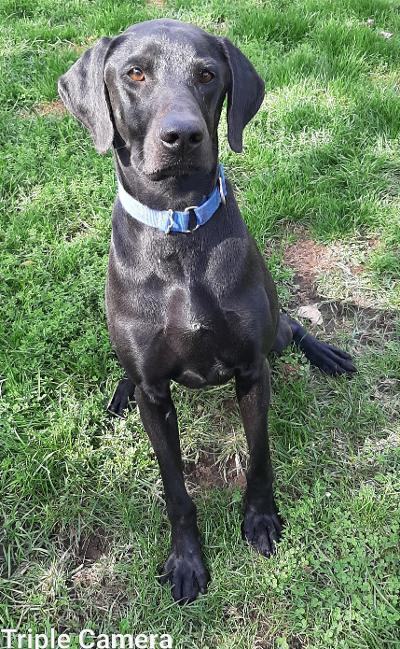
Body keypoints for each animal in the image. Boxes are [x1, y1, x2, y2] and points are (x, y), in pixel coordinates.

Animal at [58, 17, 354, 604]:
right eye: (135, 73)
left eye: (207, 74)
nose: (183, 136)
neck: (178, 228)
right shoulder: (155, 393)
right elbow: (175, 487)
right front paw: (186, 560)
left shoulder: (252, 370)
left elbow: (259, 457)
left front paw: (260, 520)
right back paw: (118, 394)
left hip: (277, 333)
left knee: (293, 327)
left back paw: (326, 355)